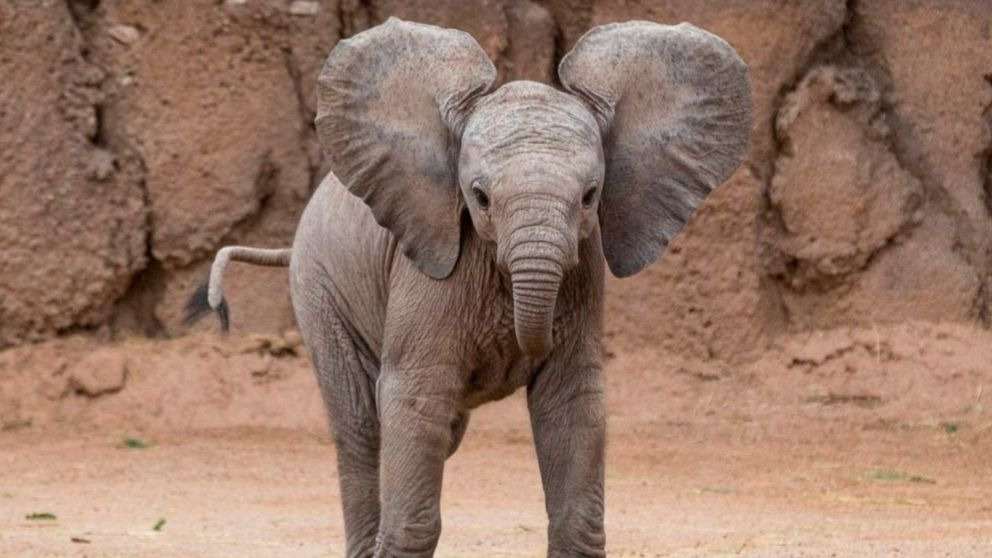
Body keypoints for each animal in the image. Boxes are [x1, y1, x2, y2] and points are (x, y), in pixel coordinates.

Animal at [186, 17, 751, 557]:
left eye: (591, 197)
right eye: (479, 197)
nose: (527, 341)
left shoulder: (583, 272)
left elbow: (571, 403)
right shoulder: (427, 272)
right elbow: (414, 401)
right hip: (318, 287)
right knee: (362, 428)